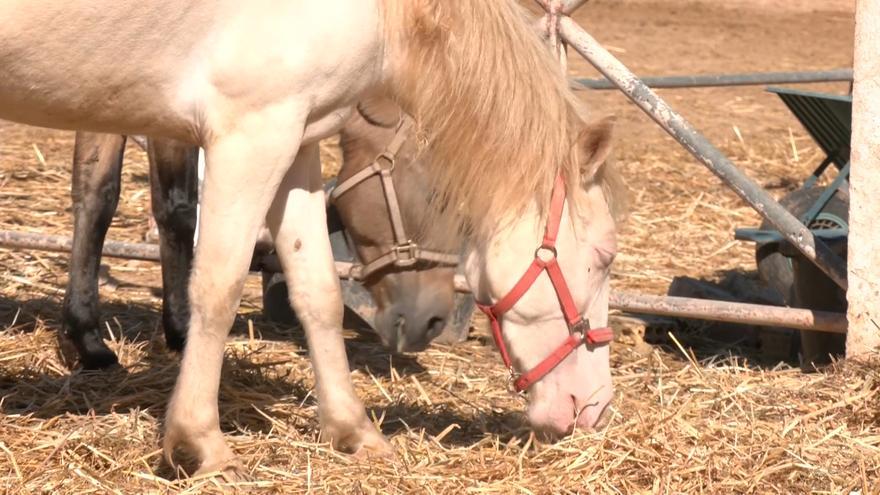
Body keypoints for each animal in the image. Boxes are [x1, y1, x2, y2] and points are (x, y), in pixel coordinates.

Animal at [0, 0, 620, 475]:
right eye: (604, 257)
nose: (591, 408)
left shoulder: (294, 140)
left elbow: (317, 289)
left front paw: (353, 431)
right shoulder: (249, 132)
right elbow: (217, 286)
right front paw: (199, 444)